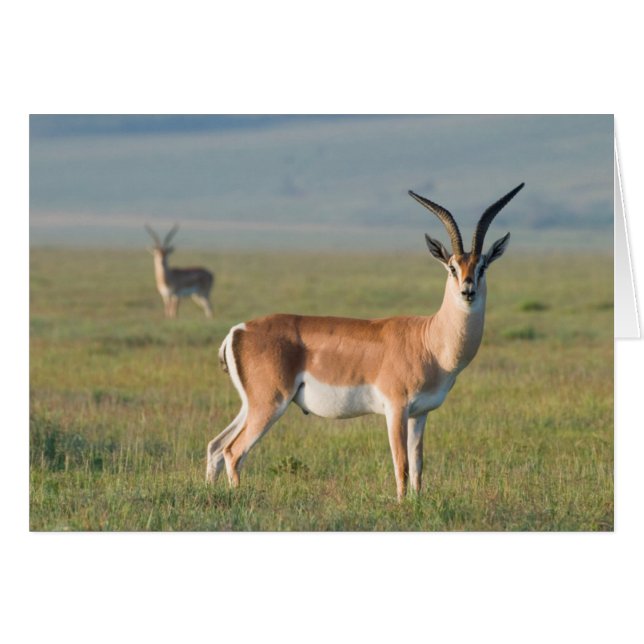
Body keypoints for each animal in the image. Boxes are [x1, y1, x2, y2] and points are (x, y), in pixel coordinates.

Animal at [206, 183, 524, 500]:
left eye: (482, 266)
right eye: (451, 267)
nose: (467, 291)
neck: (430, 341)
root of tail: (239, 330)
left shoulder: (419, 414)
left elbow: (418, 466)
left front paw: (417, 502)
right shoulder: (396, 408)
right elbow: (401, 464)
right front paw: (401, 504)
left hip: (251, 404)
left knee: (216, 446)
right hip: (270, 403)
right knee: (234, 451)